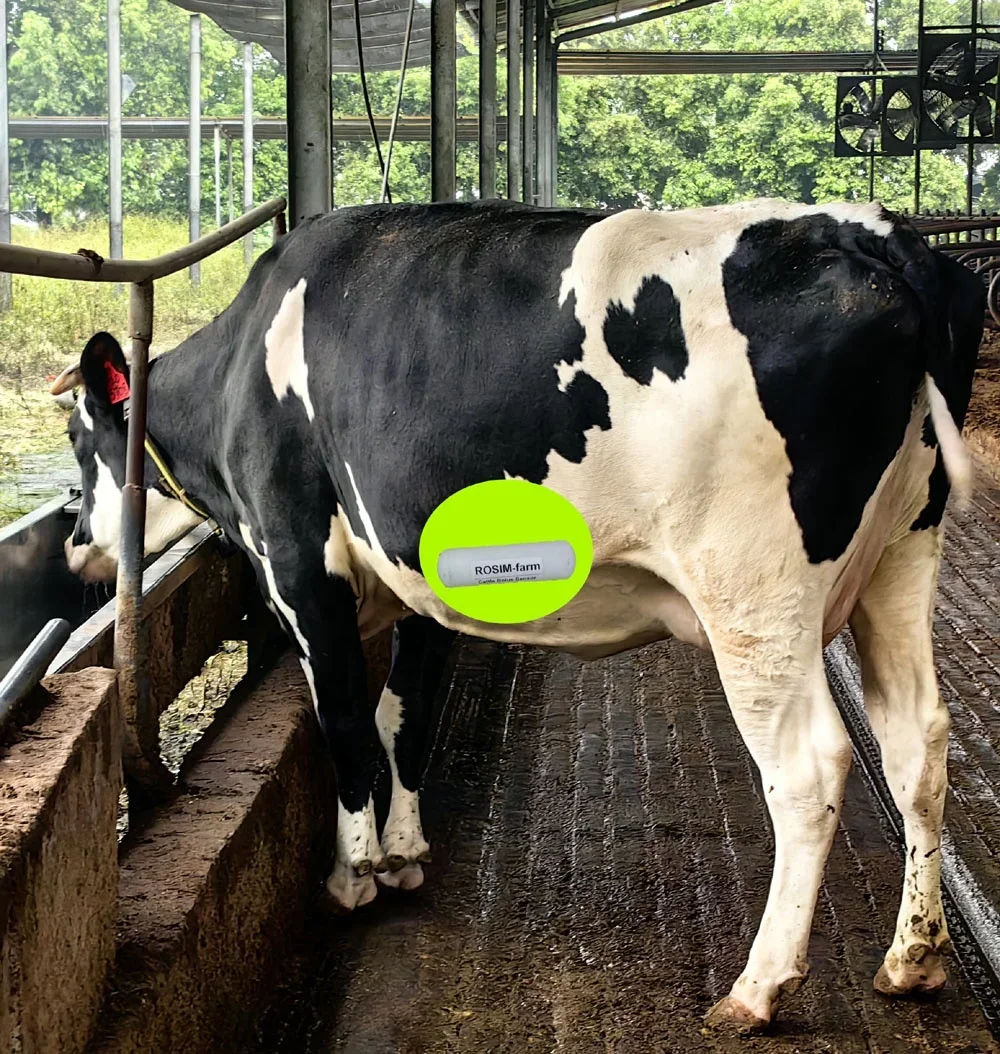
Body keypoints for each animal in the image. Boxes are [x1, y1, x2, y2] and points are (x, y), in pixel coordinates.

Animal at [50, 197, 984, 1034]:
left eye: (76, 439)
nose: (74, 545)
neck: (243, 367)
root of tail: (868, 232)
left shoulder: (299, 564)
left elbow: (346, 724)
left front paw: (354, 876)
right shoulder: (419, 581)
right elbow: (404, 716)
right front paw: (406, 853)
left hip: (754, 590)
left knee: (810, 766)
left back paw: (757, 989)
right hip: (903, 551)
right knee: (916, 740)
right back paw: (913, 958)